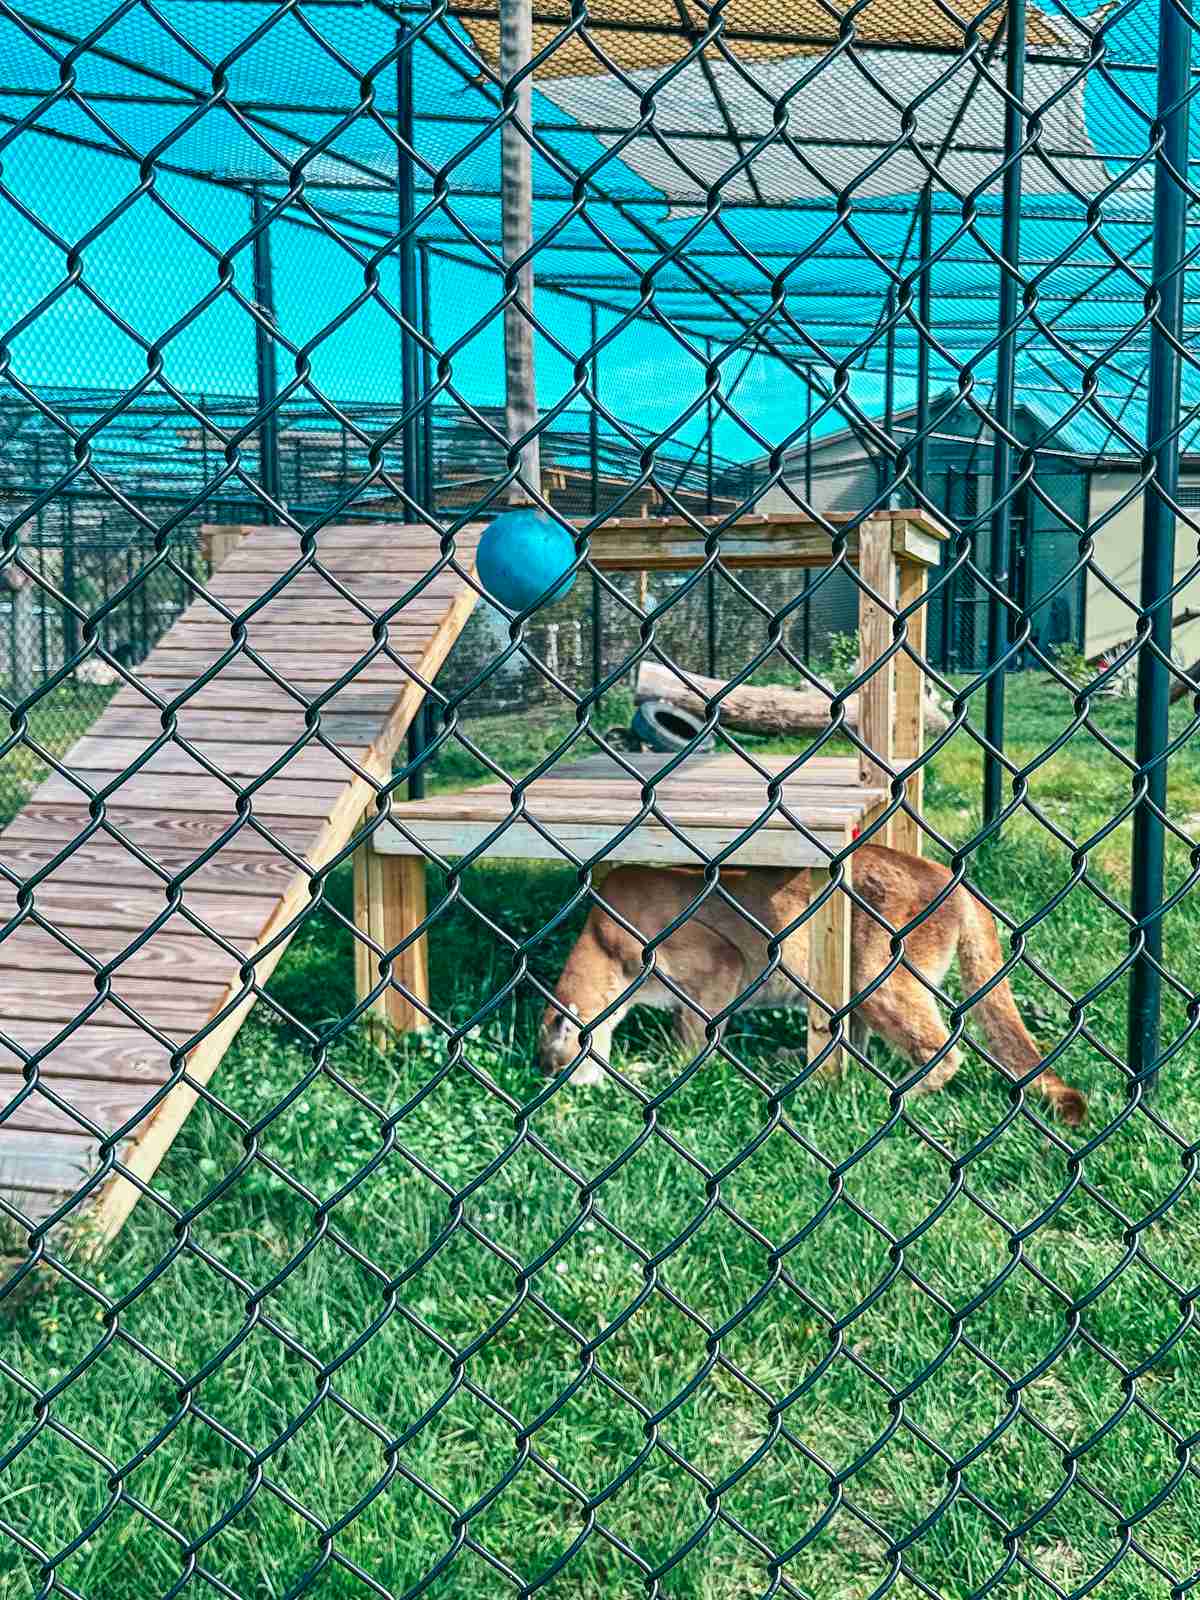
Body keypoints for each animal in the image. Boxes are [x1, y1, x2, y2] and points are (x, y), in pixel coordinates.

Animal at [540, 851, 1088, 1126]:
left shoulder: (720, 961)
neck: (600, 941)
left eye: (555, 1065)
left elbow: (694, 1036)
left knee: (942, 1051)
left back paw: (887, 1094)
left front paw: (670, 1070)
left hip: (879, 978)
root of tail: (949, 876)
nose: (547, 1085)